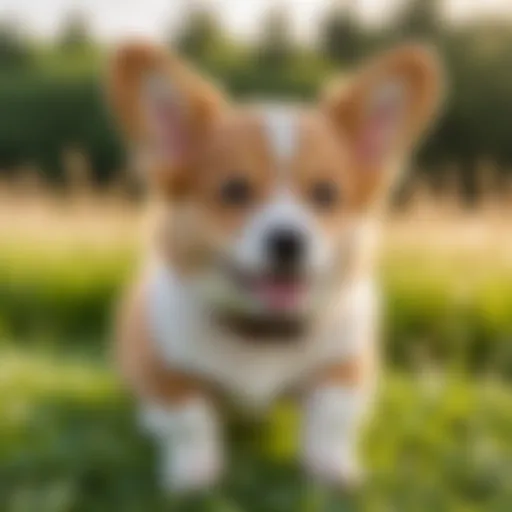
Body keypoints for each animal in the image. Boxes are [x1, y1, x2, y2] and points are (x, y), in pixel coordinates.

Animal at [110, 43, 442, 492]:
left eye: (325, 194)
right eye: (234, 191)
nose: (288, 241)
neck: (263, 333)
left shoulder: (344, 367)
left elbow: (331, 420)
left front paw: (331, 469)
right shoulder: (167, 371)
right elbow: (190, 422)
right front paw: (194, 474)